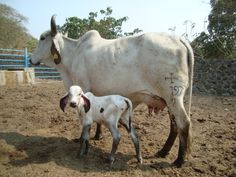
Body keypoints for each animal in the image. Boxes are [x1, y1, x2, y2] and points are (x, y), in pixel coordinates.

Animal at [30, 15, 194, 167]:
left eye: (42, 38)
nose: (31, 59)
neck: (73, 54)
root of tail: (179, 39)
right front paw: (98, 136)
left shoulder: (84, 88)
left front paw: (82, 140)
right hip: (170, 99)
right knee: (175, 125)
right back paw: (163, 151)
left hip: (173, 96)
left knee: (184, 123)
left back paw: (179, 161)